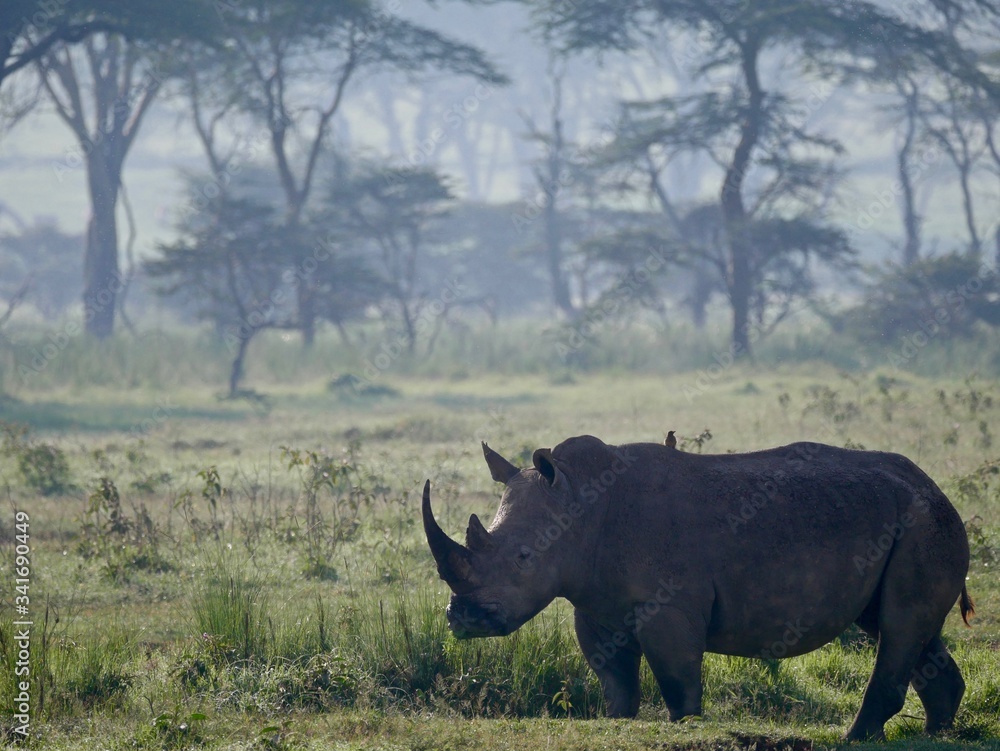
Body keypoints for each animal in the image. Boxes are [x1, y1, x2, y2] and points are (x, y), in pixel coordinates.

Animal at [422, 435, 974, 741]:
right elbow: (614, 679)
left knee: (898, 627)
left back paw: (854, 737)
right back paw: (937, 733)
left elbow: (676, 678)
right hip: (910, 523)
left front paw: (683, 726)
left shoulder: (671, 603)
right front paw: (619, 724)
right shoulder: (595, 603)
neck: (577, 507)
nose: (464, 619)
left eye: (522, 558)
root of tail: (937, 489)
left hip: (923, 523)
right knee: (901, 627)